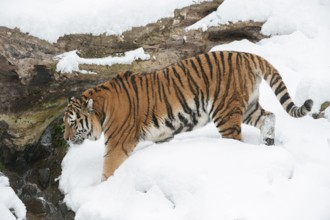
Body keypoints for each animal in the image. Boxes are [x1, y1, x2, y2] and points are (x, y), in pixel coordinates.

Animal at [63, 51, 314, 180]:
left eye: (73, 123)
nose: (65, 138)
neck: (101, 109)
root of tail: (246, 54)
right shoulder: (162, 134)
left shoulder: (117, 143)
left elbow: (108, 168)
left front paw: (101, 188)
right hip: (248, 107)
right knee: (269, 116)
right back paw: (267, 143)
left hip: (225, 112)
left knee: (237, 140)